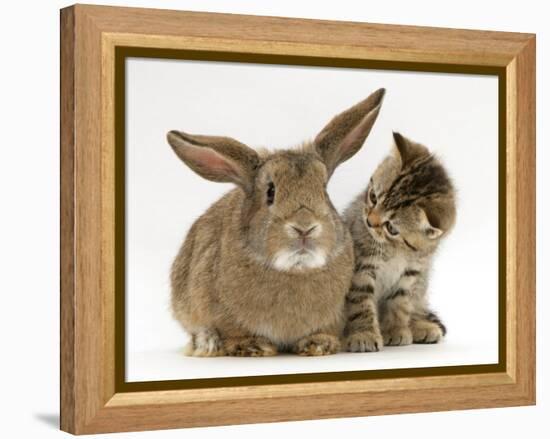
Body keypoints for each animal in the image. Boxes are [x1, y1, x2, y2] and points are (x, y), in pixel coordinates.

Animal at [166, 88, 386, 358]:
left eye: (324, 190)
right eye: (270, 192)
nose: (304, 227)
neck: (295, 269)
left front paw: (319, 344)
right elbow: (232, 332)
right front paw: (252, 346)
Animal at [344, 132, 458, 352]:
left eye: (391, 228)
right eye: (373, 197)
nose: (369, 222)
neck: (396, 250)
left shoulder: (412, 272)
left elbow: (400, 303)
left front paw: (395, 330)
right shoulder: (361, 266)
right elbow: (361, 301)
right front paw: (365, 334)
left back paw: (421, 326)